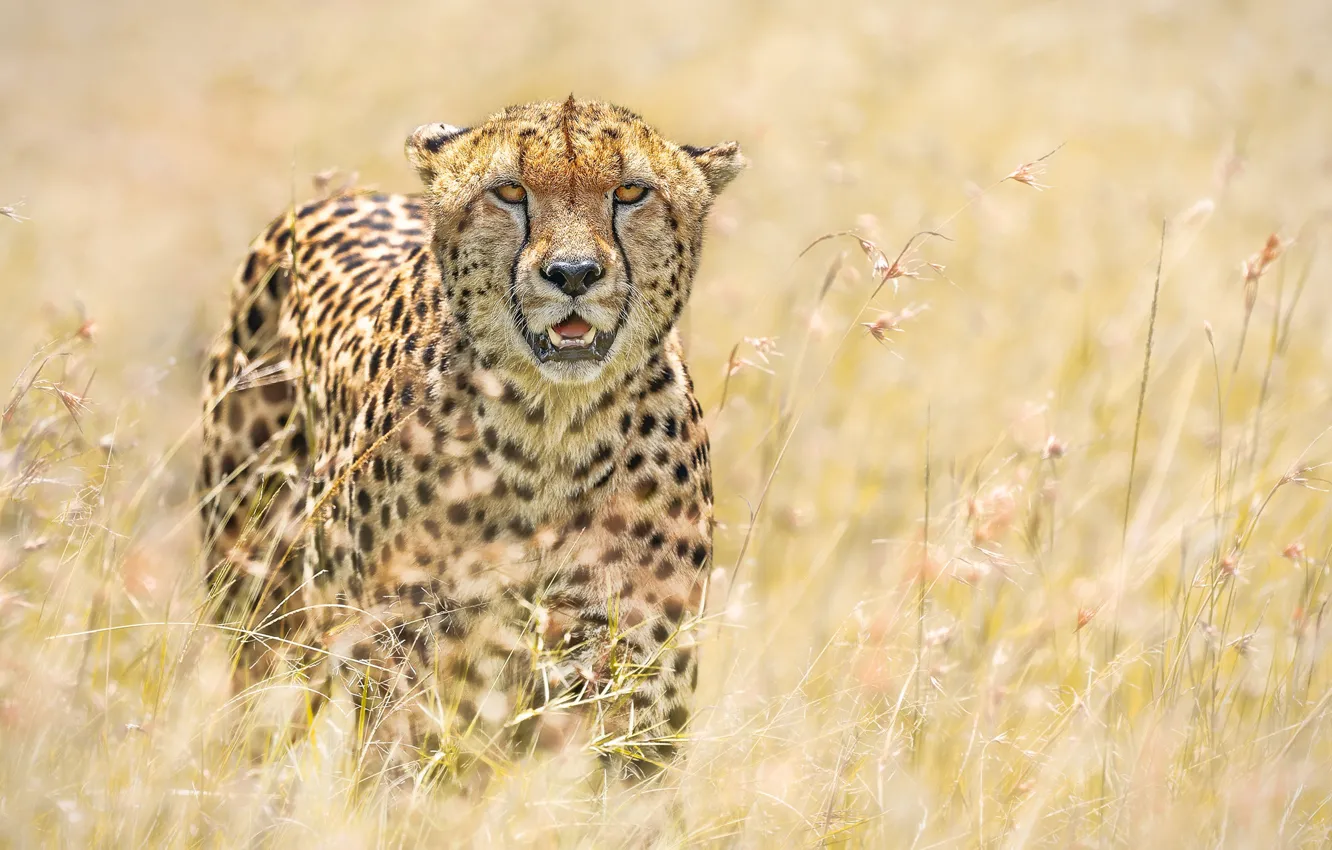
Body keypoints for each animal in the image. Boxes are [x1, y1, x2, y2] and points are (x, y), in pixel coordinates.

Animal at [197, 97, 744, 784]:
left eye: (630, 192)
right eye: (509, 191)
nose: (573, 275)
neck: (553, 431)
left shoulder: (639, 679)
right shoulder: (416, 665)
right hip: (260, 607)